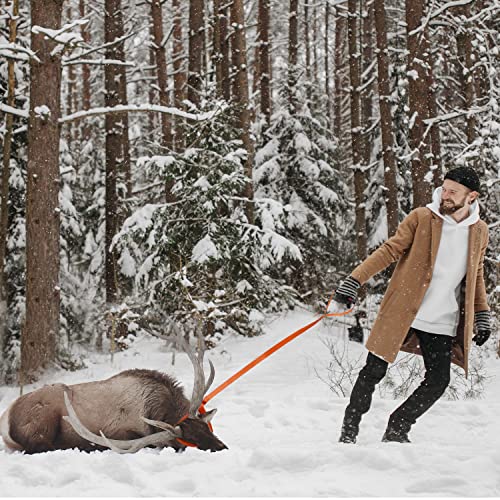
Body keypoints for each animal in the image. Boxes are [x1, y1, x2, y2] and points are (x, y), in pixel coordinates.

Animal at [0, 340, 227, 454]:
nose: (222, 448)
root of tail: (6, 418)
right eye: (189, 440)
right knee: (39, 448)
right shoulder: (122, 433)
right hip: (42, 423)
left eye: (207, 428)